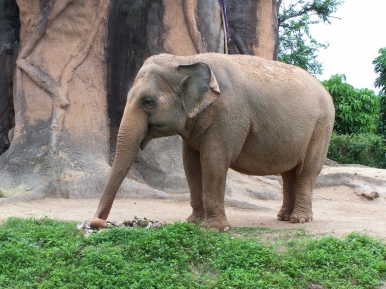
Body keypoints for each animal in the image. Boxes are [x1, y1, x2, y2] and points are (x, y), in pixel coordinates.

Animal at [90, 53, 334, 231]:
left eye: (148, 102)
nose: (99, 223)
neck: (185, 58)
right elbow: (190, 165)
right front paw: (193, 222)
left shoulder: (228, 116)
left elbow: (214, 162)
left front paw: (215, 228)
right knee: (289, 173)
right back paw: (283, 217)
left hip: (322, 127)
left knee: (307, 171)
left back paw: (299, 220)